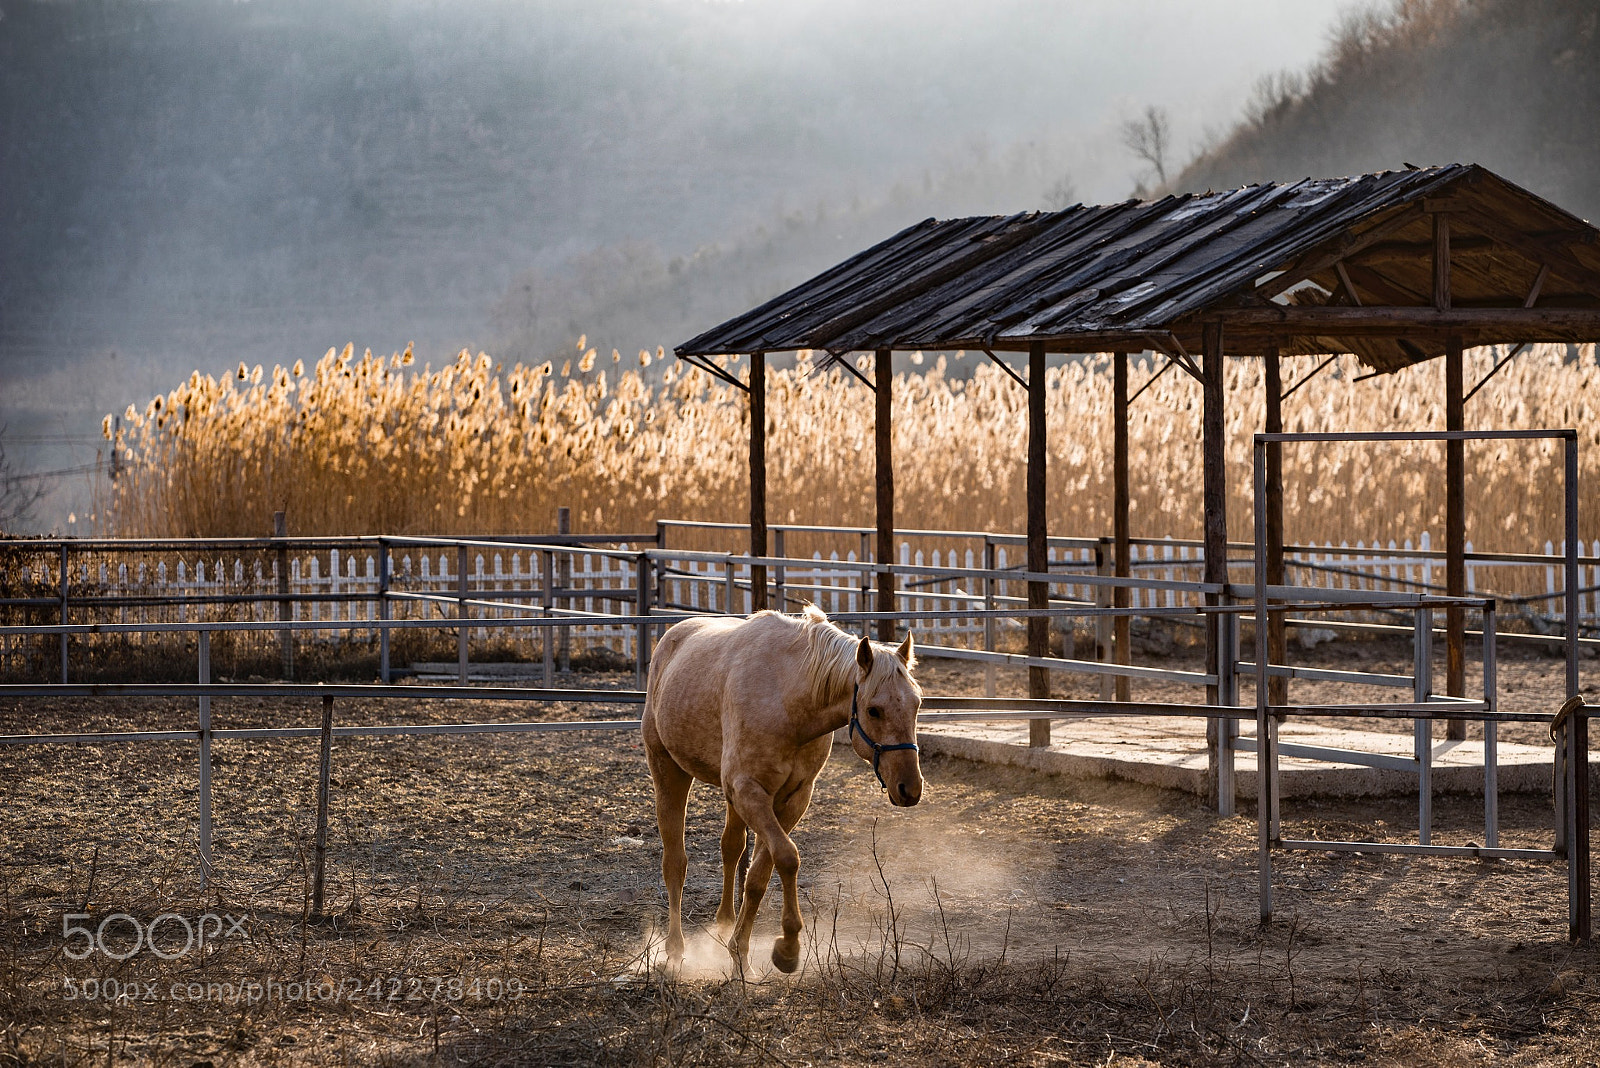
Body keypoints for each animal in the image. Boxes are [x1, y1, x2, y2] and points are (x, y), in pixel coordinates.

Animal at [642, 604, 923, 974]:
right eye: (874, 710)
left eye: (917, 703)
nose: (910, 788)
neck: (788, 700)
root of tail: (670, 638)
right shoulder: (750, 791)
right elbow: (788, 858)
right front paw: (788, 949)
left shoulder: (791, 799)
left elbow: (758, 876)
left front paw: (741, 953)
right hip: (668, 772)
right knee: (675, 861)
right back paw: (675, 949)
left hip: (732, 798)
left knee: (731, 848)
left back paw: (725, 924)